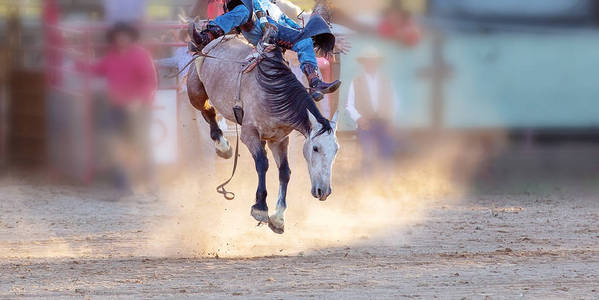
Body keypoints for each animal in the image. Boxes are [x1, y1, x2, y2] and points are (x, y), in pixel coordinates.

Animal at [185, 33, 340, 234]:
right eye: (315, 148)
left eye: (336, 151)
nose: (324, 192)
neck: (274, 92)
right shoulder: (249, 134)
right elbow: (262, 164)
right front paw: (260, 207)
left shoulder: (279, 140)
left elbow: (284, 172)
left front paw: (279, 217)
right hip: (195, 92)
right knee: (208, 110)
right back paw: (223, 146)